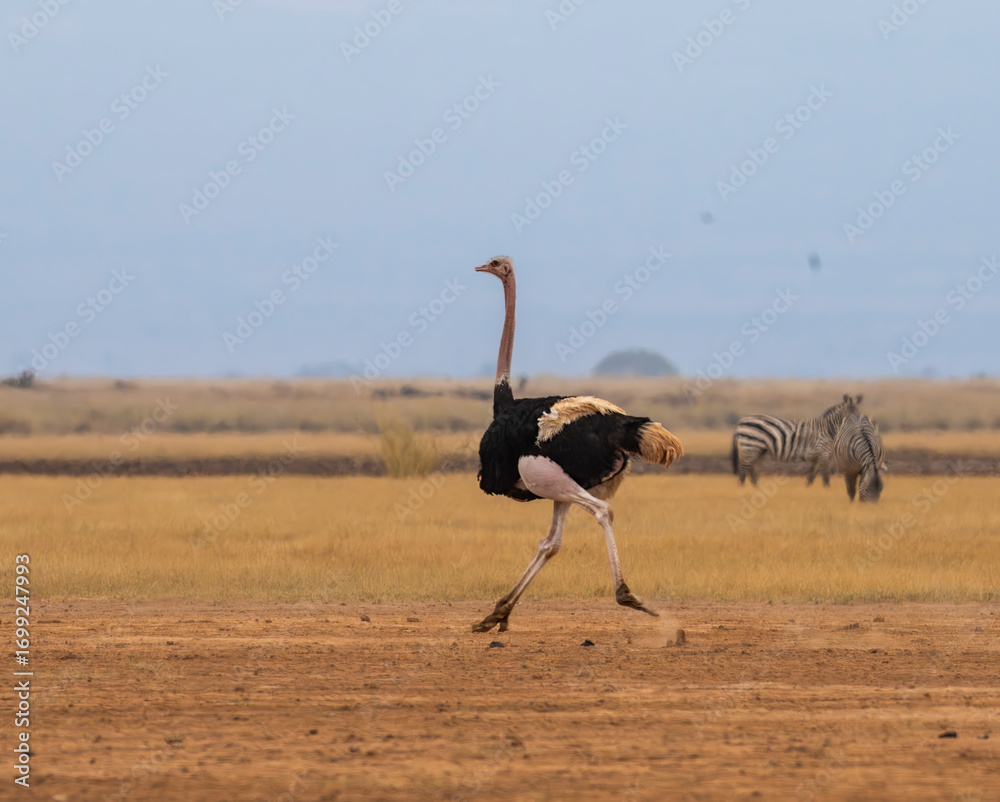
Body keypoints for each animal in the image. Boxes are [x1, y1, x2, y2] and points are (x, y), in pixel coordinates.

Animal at [731, 394, 862, 486]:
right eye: (848, 414)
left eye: (858, 412)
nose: (857, 427)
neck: (827, 429)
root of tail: (741, 421)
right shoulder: (823, 452)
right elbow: (825, 474)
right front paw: (827, 489)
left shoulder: (817, 456)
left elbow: (812, 474)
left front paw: (808, 488)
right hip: (751, 444)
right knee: (744, 467)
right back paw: (743, 487)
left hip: (756, 448)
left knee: (750, 467)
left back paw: (755, 486)